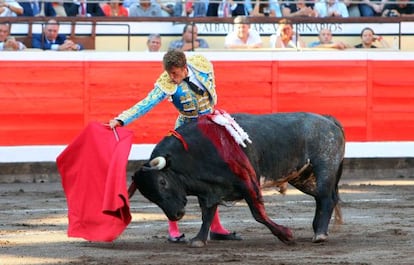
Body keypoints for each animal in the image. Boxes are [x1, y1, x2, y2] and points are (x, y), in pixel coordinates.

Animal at [130, 111, 346, 245]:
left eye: (162, 182)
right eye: (149, 196)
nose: (175, 214)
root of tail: (328, 120)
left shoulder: (247, 182)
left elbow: (258, 213)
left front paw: (285, 235)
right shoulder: (209, 190)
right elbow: (207, 214)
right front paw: (199, 240)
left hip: (324, 167)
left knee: (326, 198)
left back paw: (319, 234)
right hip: (303, 177)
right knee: (323, 198)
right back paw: (318, 229)